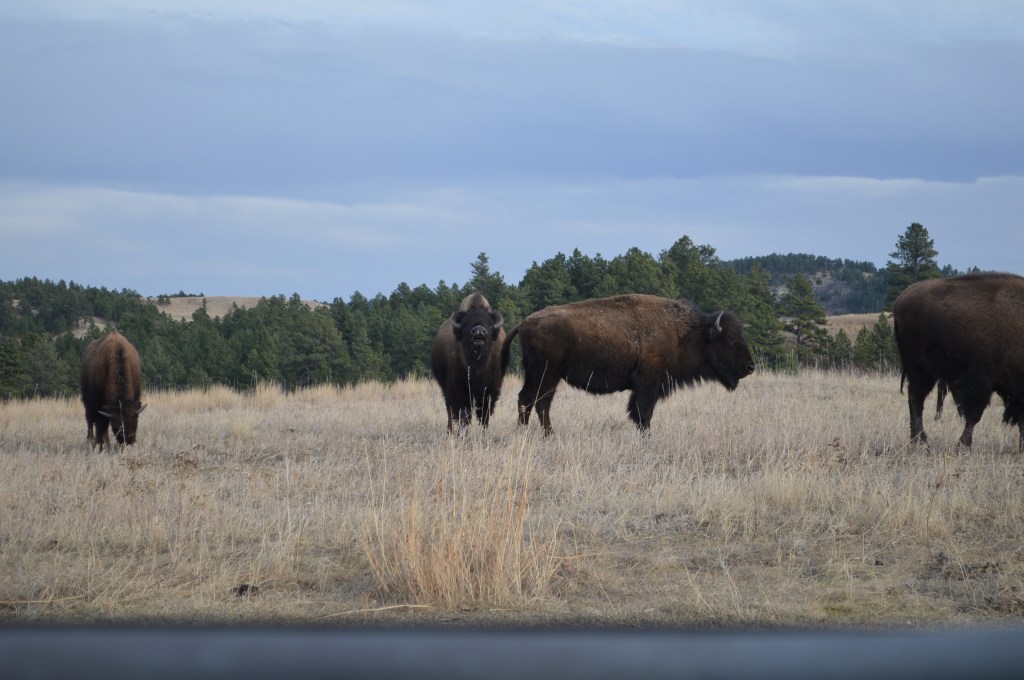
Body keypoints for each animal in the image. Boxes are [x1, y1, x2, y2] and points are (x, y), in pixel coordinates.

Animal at [430, 292, 506, 432]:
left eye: (490, 324)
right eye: (465, 324)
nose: (479, 331)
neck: (477, 366)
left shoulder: (489, 391)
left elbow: (484, 415)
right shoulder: (458, 390)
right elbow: (463, 414)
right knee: (450, 412)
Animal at [501, 294, 755, 434]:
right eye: (730, 340)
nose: (750, 367)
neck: (684, 333)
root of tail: (524, 323)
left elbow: (640, 413)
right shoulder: (649, 383)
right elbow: (643, 413)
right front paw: (647, 438)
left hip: (533, 375)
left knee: (525, 400)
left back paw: (522, 433)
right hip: (549, 375)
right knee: (542, 403)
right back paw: (549, 435)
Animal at [893, 272, 1024, 450]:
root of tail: (903, 298)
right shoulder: (982, 382)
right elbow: (974, 415)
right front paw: (963, 445)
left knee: (914, 398)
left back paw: (917, 440)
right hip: (921, 370)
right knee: (916, 399)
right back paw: (922, 441)